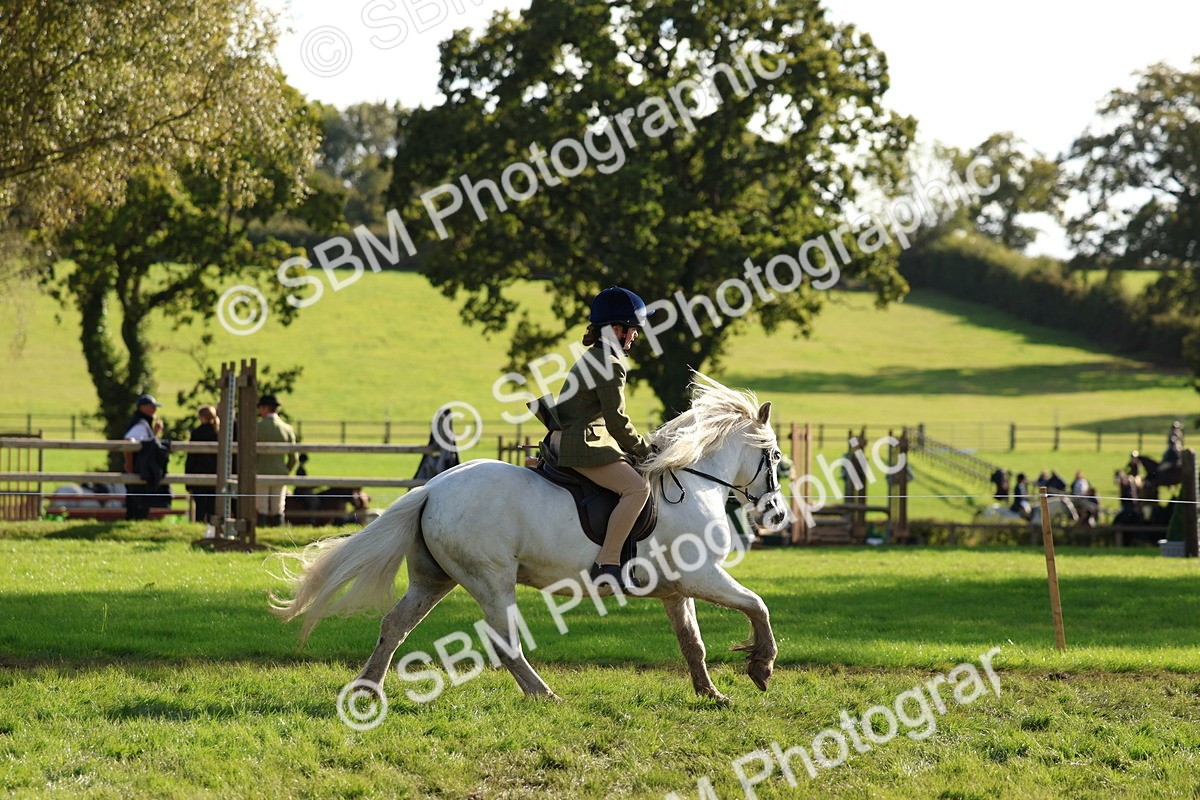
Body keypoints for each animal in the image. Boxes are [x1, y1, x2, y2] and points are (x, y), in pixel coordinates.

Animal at [271, 374, 790, 702]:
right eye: (775, 456)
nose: (778, 514)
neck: (694, 481)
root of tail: (433, 488)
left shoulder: (677, 589)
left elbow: (692, 643)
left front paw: (711, 693)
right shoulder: (704, 576)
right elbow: (758, 605)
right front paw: (761, 667)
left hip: (432, 580)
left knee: (394, 625)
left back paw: (366, 688)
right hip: (491, 580)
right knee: (505, 644)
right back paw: (544, 694)